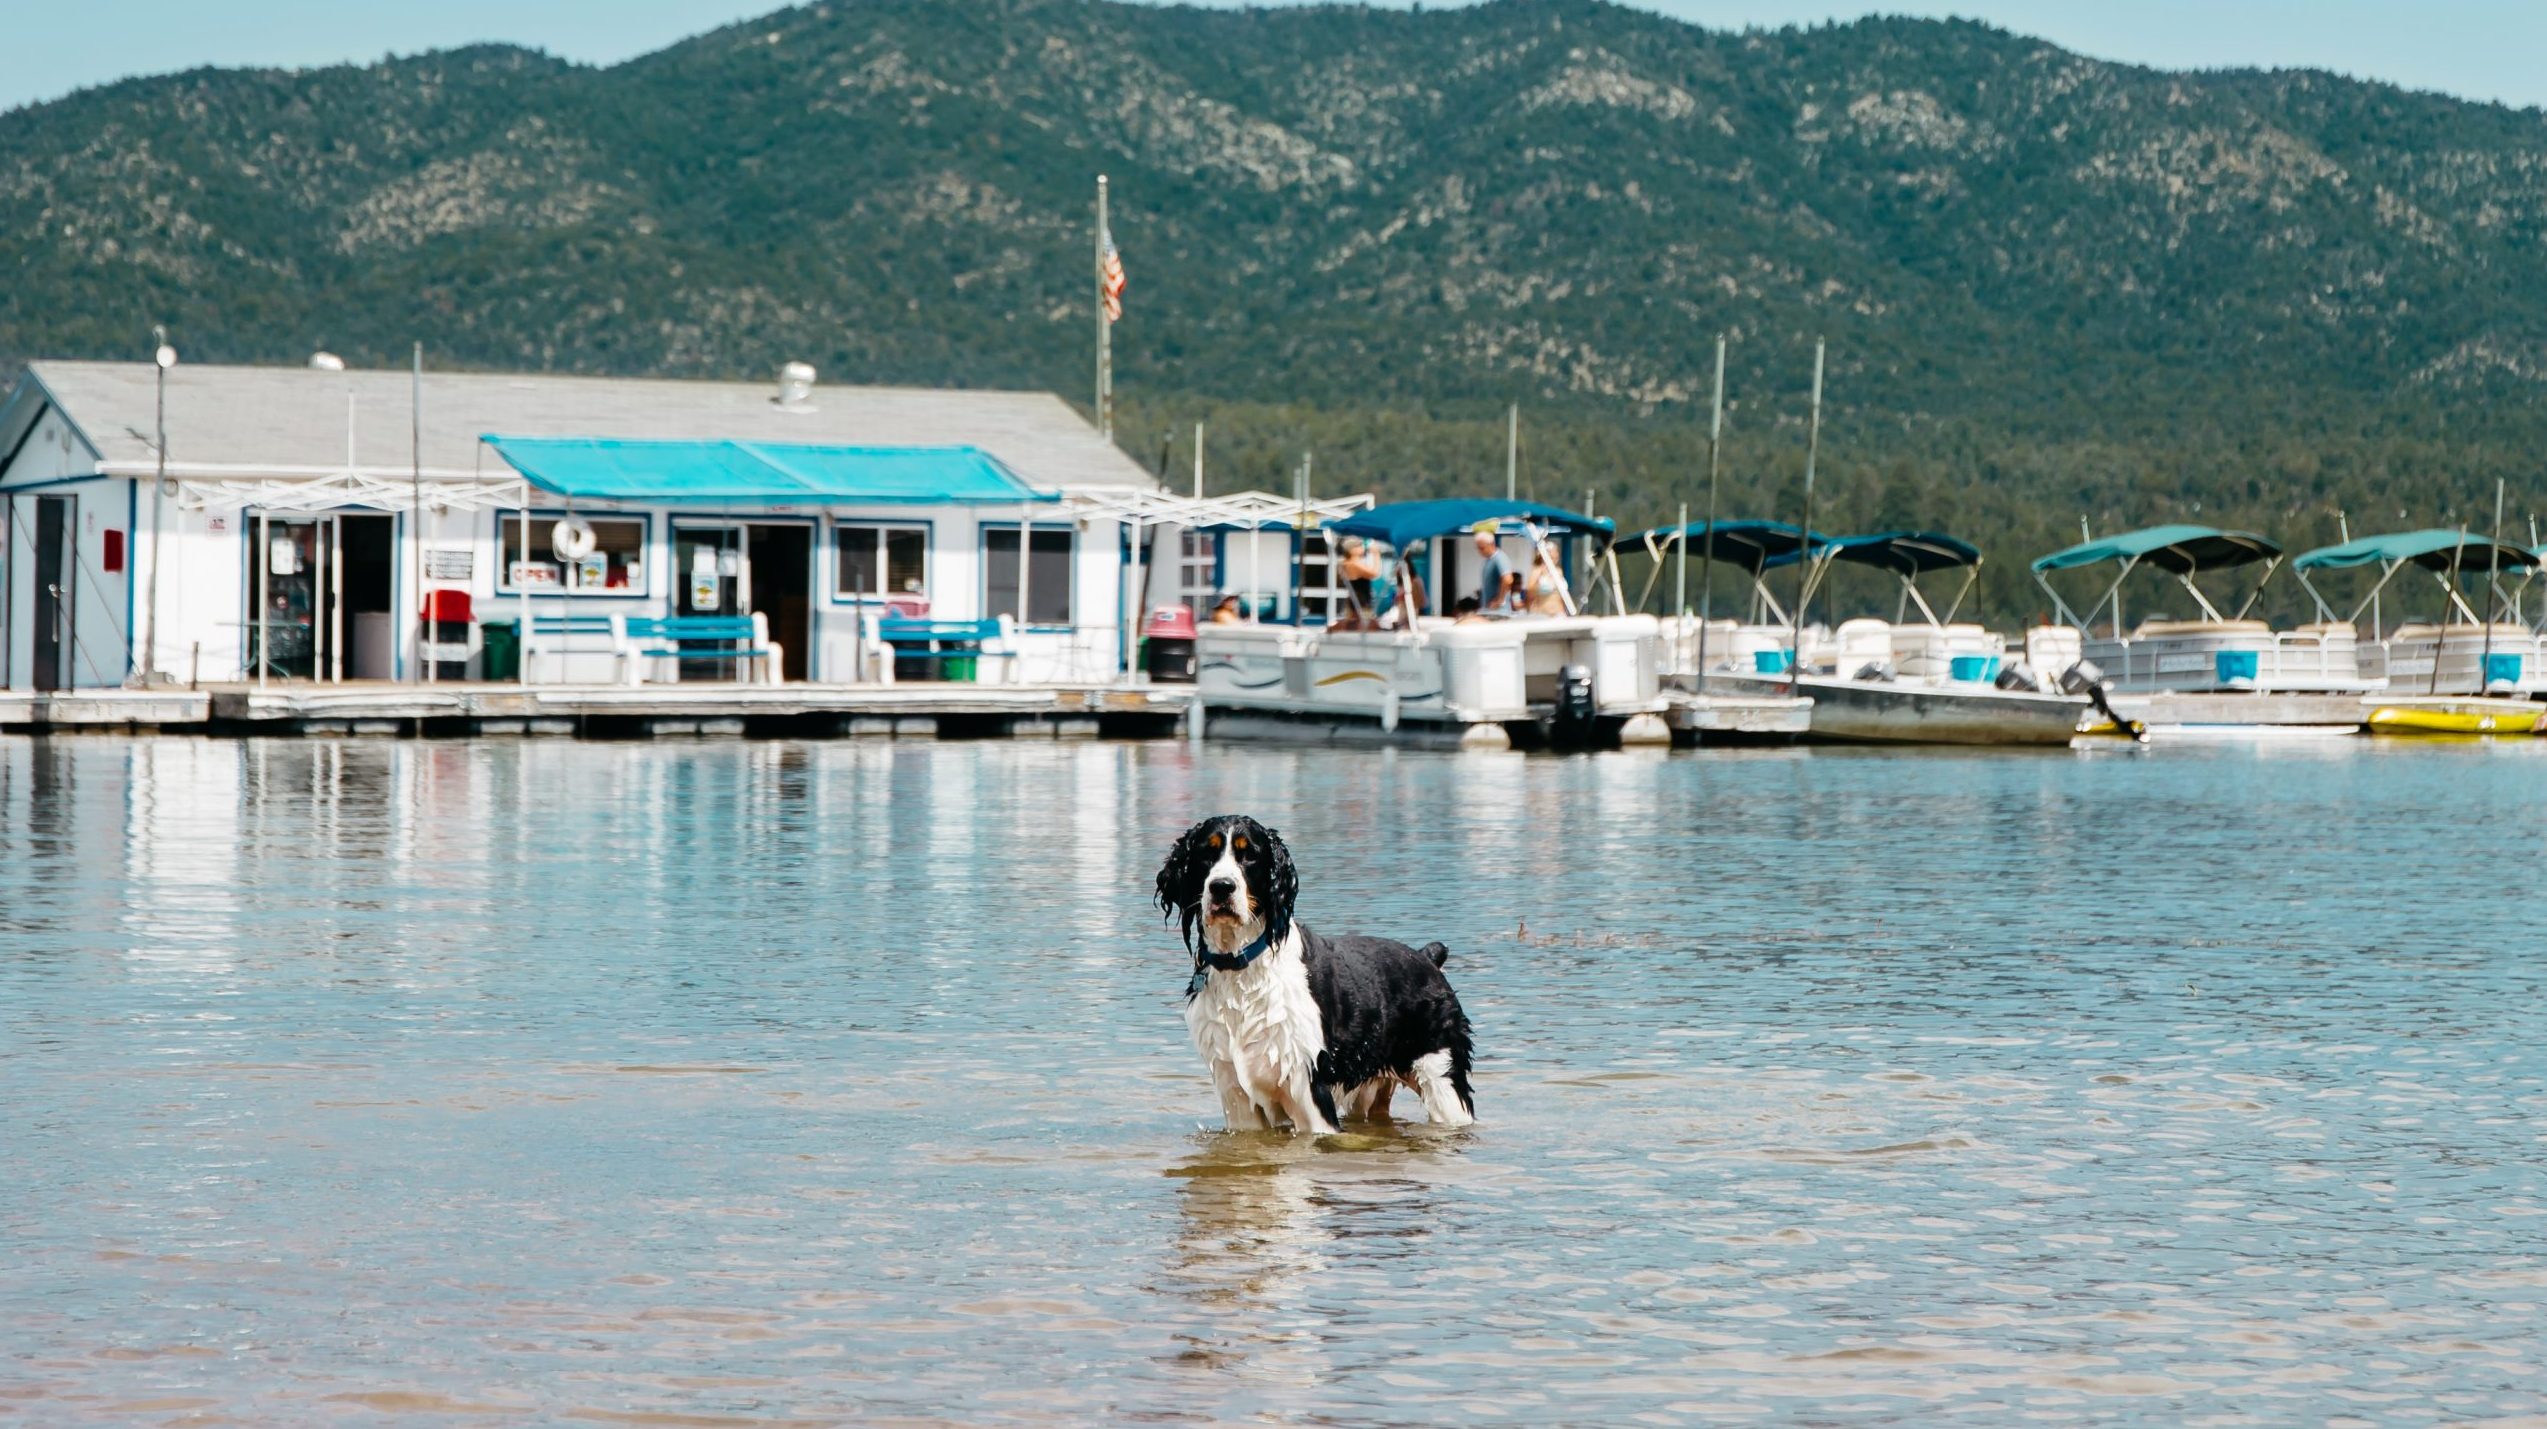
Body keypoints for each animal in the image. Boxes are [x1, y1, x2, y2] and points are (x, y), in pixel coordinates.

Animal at [1156, 815, 1477, 1136]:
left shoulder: (1308, 1087)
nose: (1222, 887)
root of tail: (1427, 957)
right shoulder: (1236, 1094)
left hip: (1443, 1082)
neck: (1241, 968)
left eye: (1249, 855)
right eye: (1206, 854)